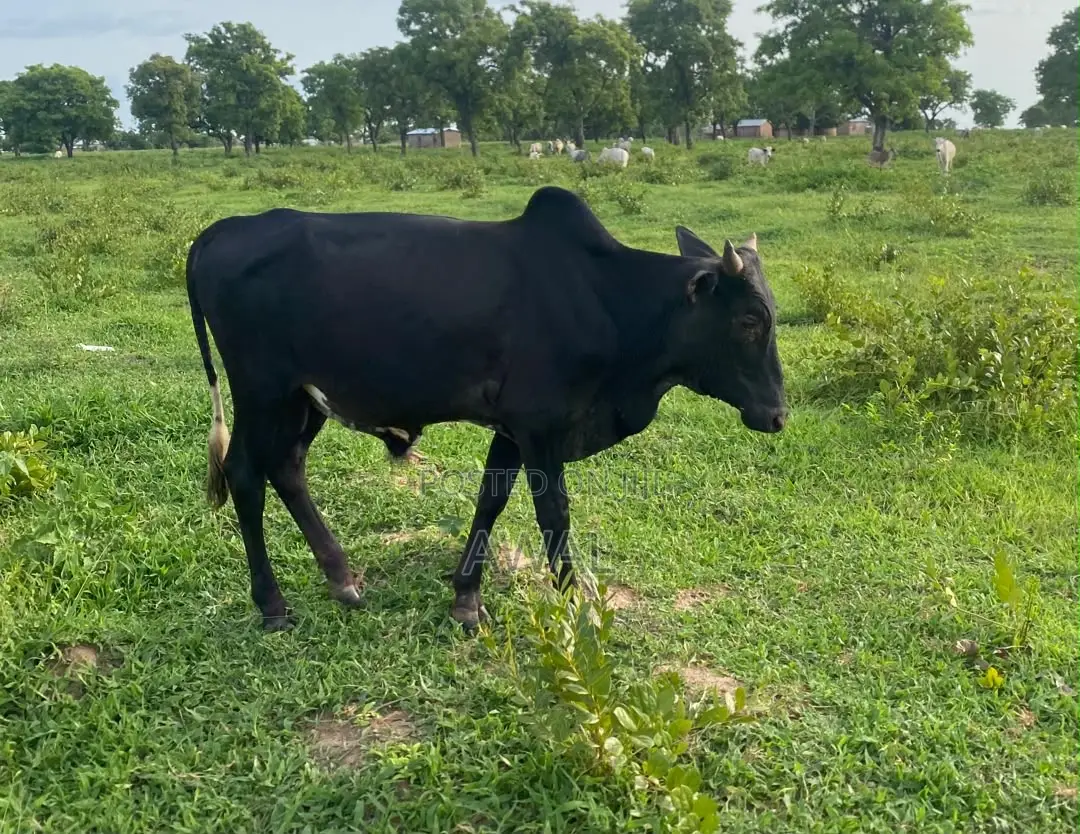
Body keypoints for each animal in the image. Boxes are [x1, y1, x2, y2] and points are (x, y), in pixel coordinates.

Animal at [186, 186, 787, 632]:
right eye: (750, 319)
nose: (778, 414)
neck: (605, 300)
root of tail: (222, 230)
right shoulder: (541, 426)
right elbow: (554, 514)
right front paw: (575, 605)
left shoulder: (513, 428)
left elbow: (491, 500)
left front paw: (465, 598)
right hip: (260, 392)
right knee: (245, 474)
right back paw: (272, 605)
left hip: (301, 400)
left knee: (286, 468)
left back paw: (342, 580)